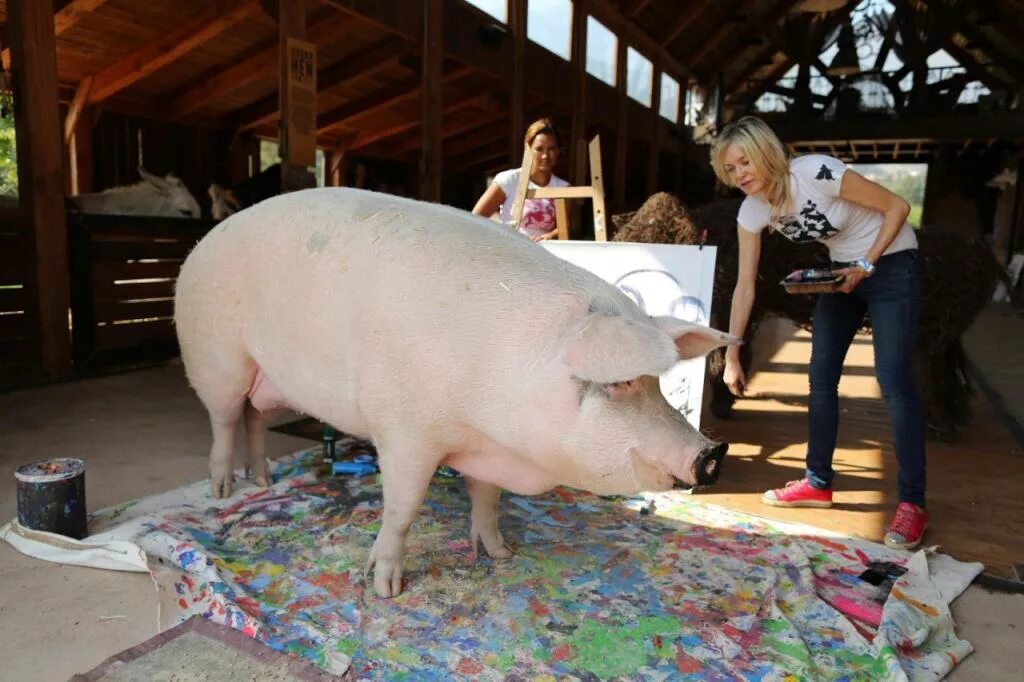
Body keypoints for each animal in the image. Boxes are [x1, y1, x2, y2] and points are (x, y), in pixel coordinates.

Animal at [174, 187, 737, 593]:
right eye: (620, 382)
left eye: (654, 384)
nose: (711, 453)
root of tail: (204, 242)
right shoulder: (405, 432)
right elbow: (401, 509)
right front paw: (385, 589)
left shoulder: (485, 448)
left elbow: (486, 499)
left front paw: (502, 554)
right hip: (215, 358)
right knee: (223, 420)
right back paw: (223, 490)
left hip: (261, 376)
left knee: (253, 416)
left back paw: (263, 481)